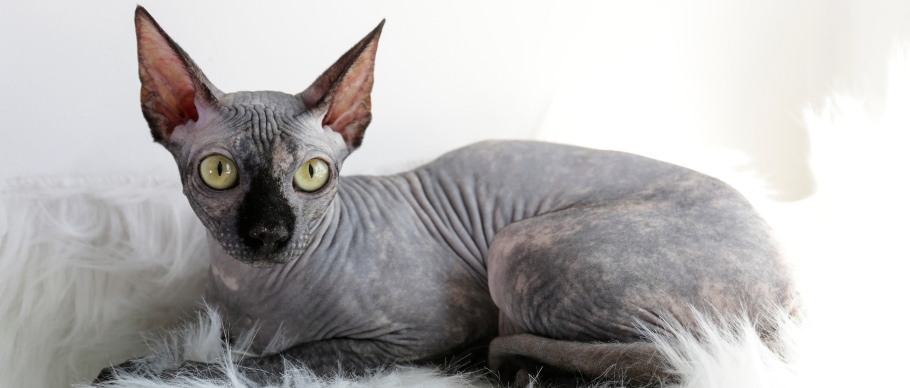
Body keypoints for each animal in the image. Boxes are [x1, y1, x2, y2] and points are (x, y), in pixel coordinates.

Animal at [96, 5, 800, 384]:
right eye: (219, 172)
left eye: (312, 175)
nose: (269, 233)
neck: (256, 294)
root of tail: (789, 294)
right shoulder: (222, 326)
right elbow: (227, 351)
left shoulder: (407, 337)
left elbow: (274, 363)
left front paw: (135, 372)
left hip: (516, 248)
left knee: (642, 354)